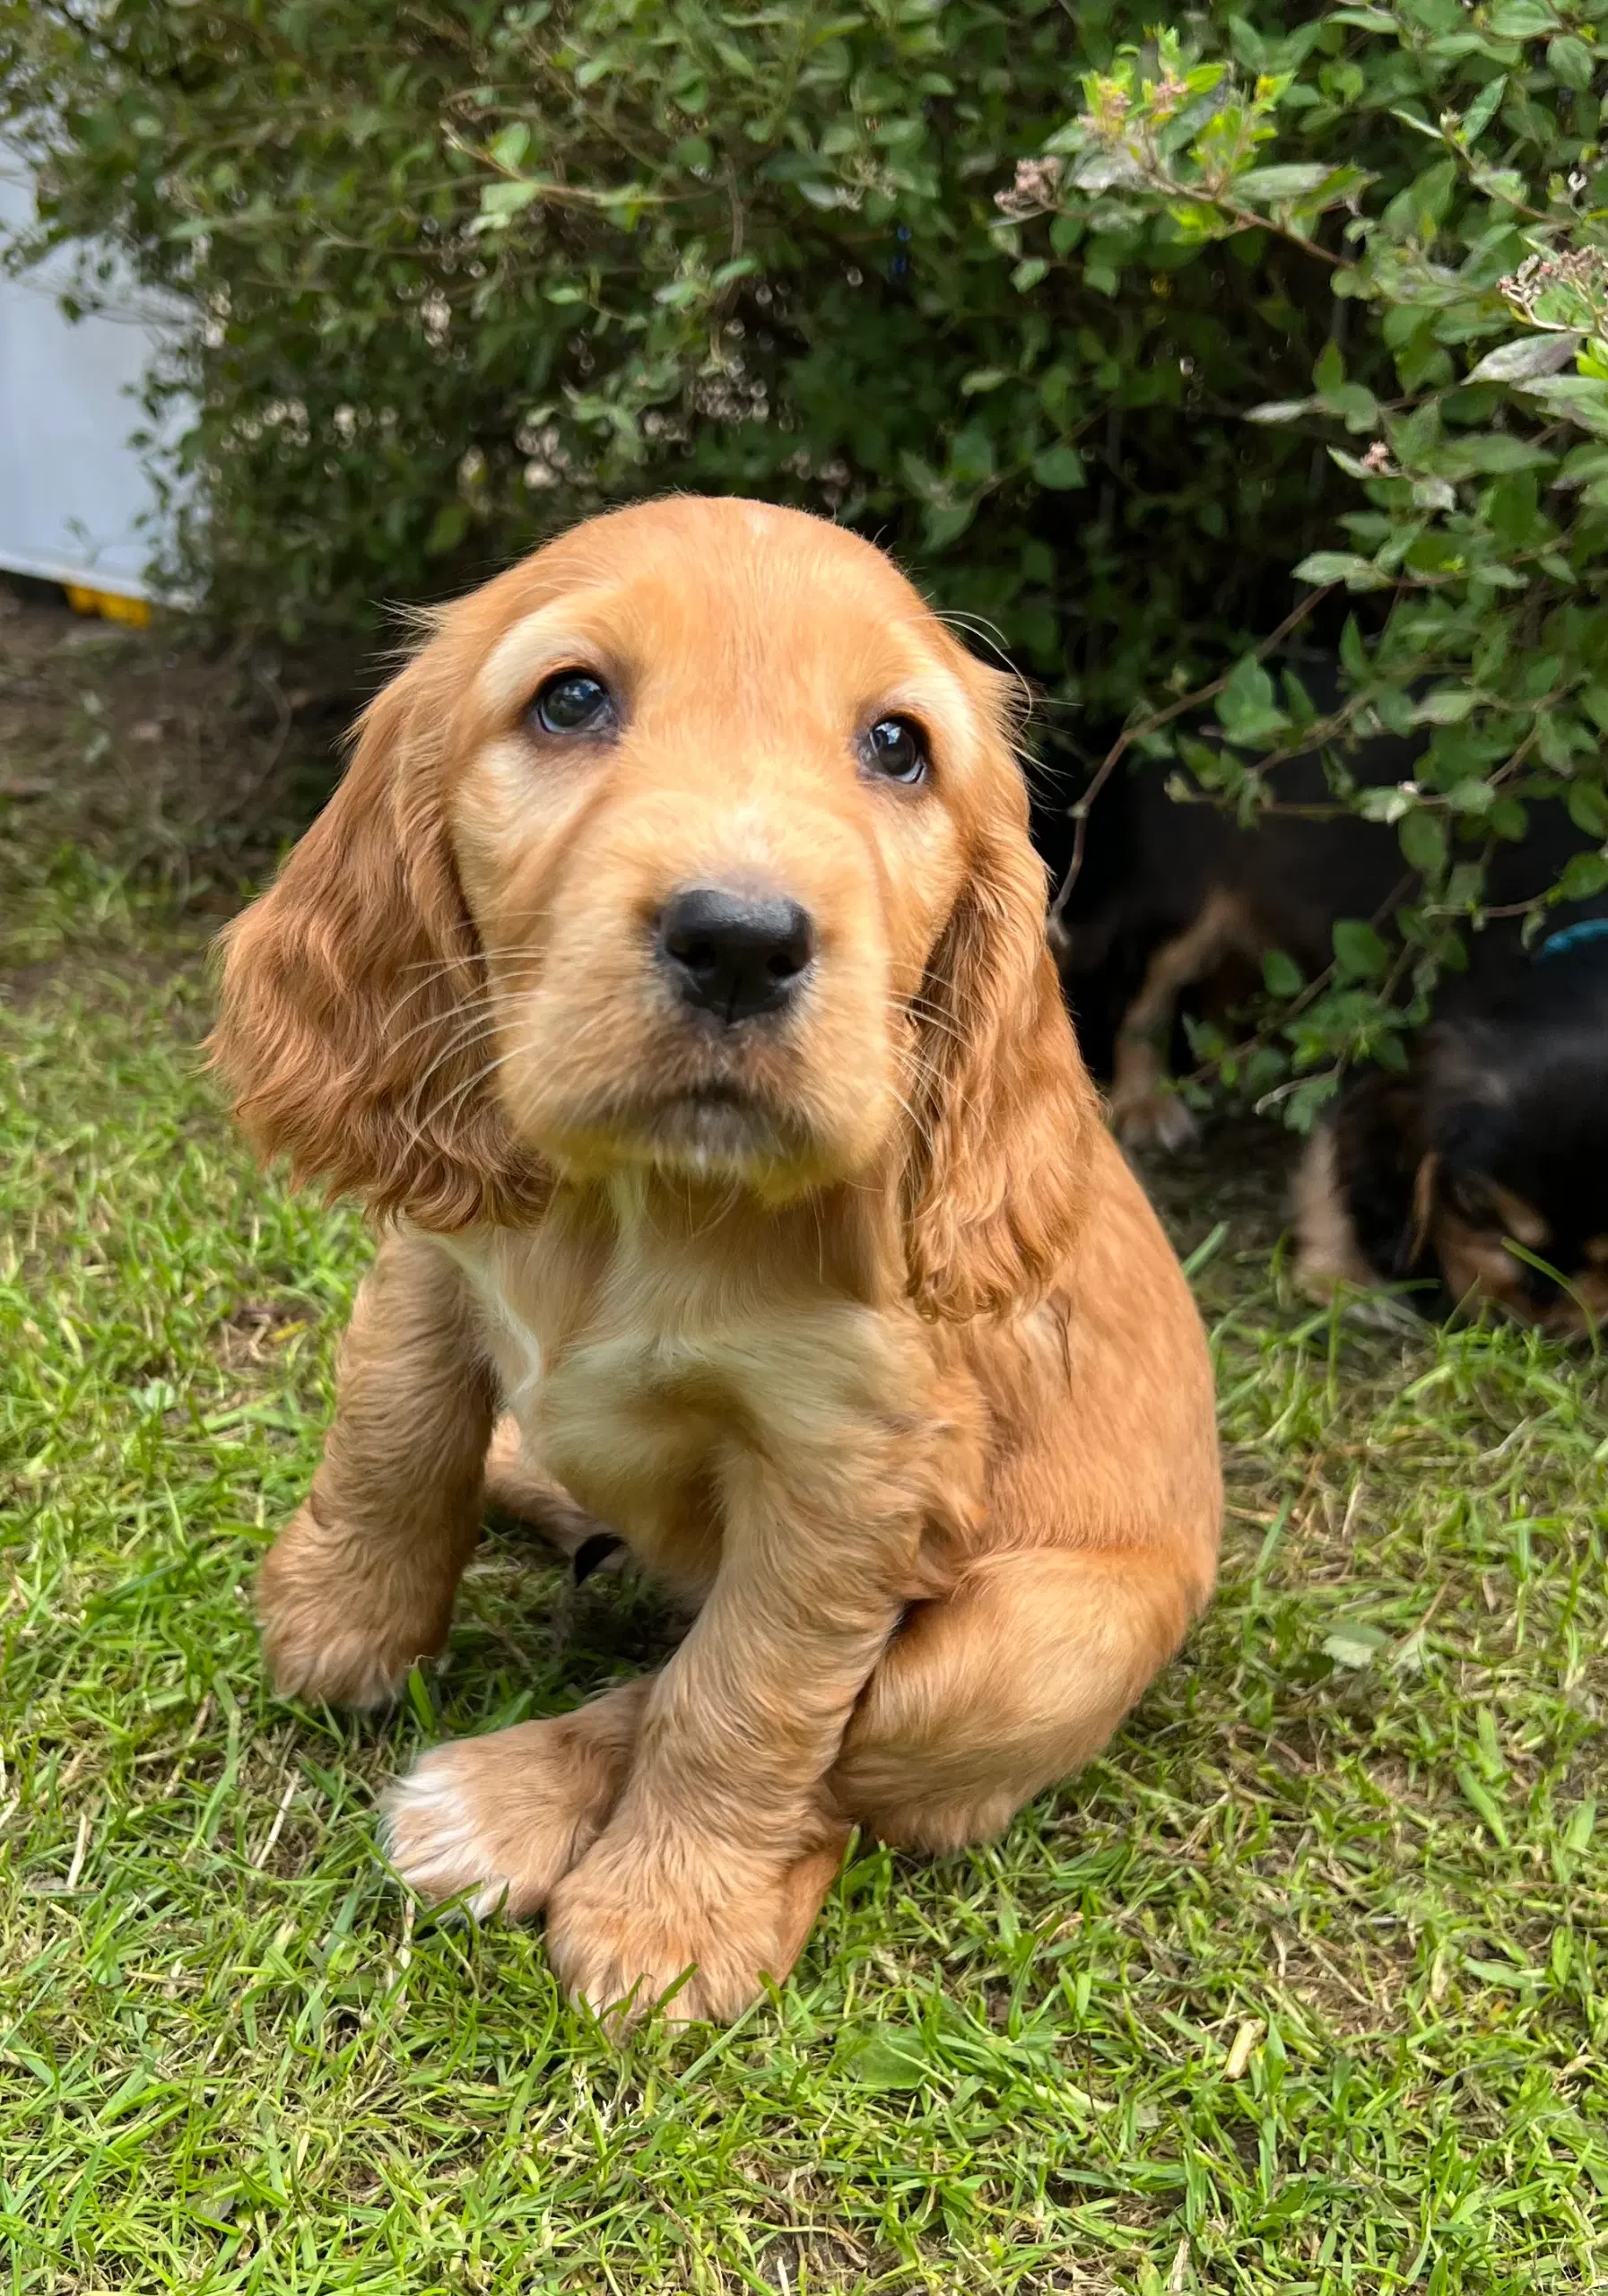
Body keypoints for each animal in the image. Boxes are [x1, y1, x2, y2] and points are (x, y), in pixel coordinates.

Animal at [213, 498, 1221, 2030]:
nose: (741, 944)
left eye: (897, 746)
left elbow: (742, 1693)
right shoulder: (442, 1256)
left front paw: (664, 1921)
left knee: (829, 1760)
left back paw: (501, 1803)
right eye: (571, 700)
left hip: (1041, 1646)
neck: (640, 1203)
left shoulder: (848, 1469)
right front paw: (342, 1619)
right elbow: (393, 1433)